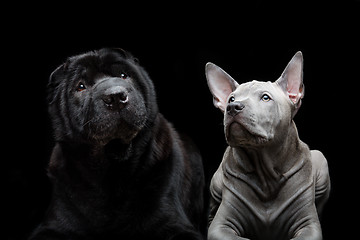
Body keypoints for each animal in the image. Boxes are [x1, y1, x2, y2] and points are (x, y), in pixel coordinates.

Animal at [204, 51, 330, 239]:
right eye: (231, 98)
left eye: (265, 97)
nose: (232, 106)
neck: (266, 176)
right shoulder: (221, 228)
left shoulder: (309, 226)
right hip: (217, 183)